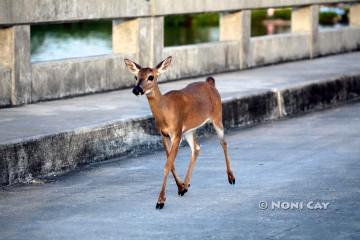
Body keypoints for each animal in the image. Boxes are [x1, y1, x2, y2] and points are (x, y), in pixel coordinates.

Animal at [124, 55, 236, 208]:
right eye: (136, 76)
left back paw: (231, 178)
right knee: (196, 148)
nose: (136, 89)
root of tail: (210, 84)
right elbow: (170, 164)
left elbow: (167, 164)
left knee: (223, 143)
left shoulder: (176, 133)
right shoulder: (163, 134)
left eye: (151, 77)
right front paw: (180, 187)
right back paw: (186, 184)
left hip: (217, 116)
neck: (165, 111)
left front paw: (160, 201)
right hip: (189, 130)